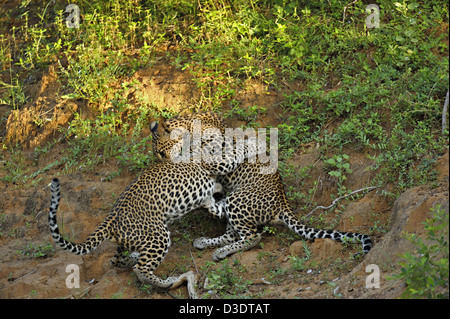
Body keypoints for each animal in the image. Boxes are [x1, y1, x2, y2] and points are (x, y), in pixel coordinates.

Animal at [48, 162, 224, 300]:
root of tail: (110, 220)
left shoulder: (209, 201)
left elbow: (220, 208)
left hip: (129, 241)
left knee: (115, 261)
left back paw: (132, 258)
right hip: (159, 237)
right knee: (141, 269)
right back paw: (167, 282)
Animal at [151, 114, 372, 262]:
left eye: (161, 152)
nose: (166, 164)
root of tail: (283, 202)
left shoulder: (217, 160)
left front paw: (254, 144)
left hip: (238, 200)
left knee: (253, 236)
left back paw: (221, 250)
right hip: (234, 201)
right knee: (232, 232)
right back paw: (206, 242)